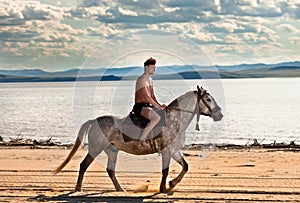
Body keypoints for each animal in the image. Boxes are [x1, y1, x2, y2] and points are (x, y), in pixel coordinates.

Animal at [53, 85, 223, 193]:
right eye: (208, 99)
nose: (219, 114)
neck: (174, 119)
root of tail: (94, 120)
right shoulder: (167, 151)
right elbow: (165, 170)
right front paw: (164, 188)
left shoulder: (174, 151)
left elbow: (185, 166)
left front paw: (172, 184)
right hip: (96, 149)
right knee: (83, 165)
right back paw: (78, 188)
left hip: (112, 150)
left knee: (110, 170)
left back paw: (120, 189)